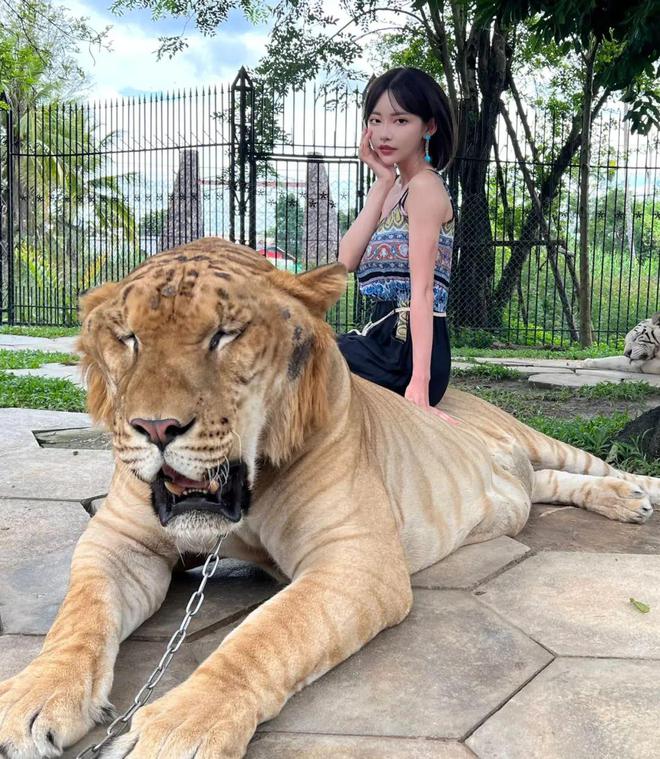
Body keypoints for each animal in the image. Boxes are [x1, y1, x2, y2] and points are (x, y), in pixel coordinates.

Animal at [0, 238, 658, 759]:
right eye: (128, 338)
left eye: (225, 335)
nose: (156, 428)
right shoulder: (118, 541)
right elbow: (79, 617)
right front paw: (31, 700)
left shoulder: (356, 558)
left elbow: (266, 634)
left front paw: (181, 726)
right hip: (526, 481)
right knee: (553, 486)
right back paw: (616, 500)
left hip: (538, 439)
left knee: (594, 467)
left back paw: (637, 496)